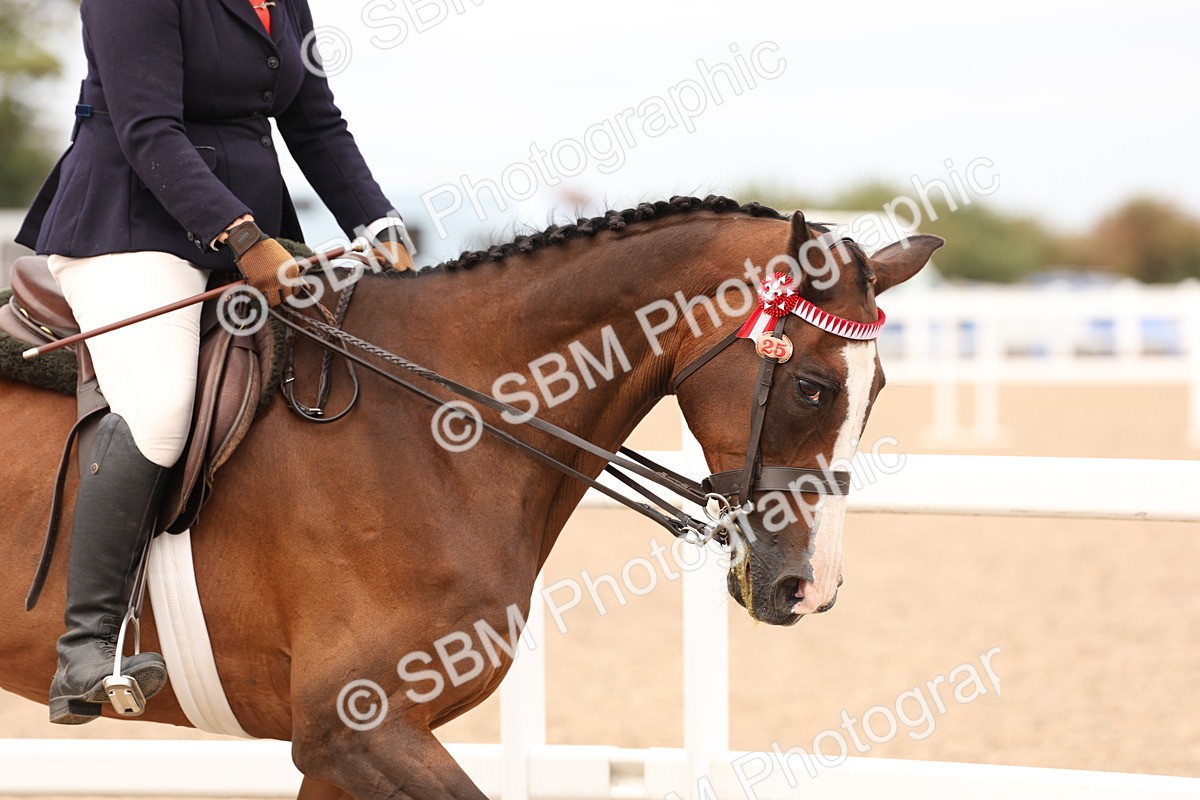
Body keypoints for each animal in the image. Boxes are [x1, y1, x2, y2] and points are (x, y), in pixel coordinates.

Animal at [0, 196, 940, 799]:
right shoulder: (358, 728)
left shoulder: (339, 750)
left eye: (878, 389)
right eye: (813, 387)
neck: (437, 429)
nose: (811, 587)